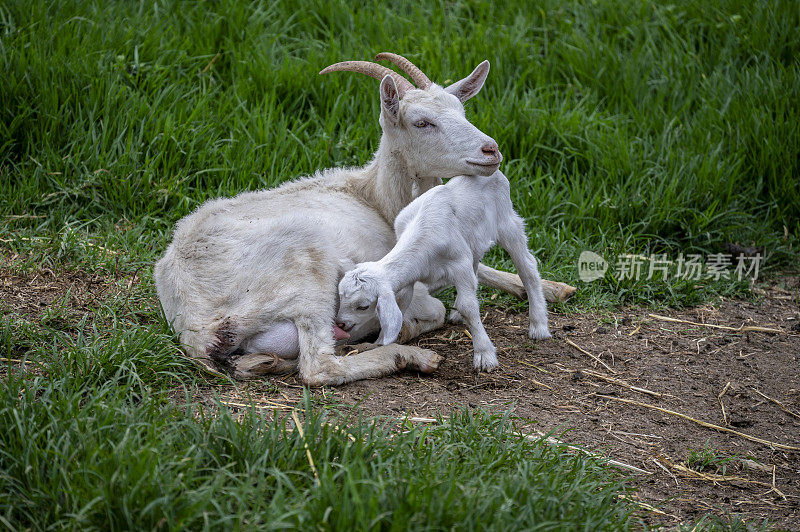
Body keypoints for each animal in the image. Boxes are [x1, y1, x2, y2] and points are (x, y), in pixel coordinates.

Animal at [153, 54, 572, 384]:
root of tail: (195, 322)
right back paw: (410, 354)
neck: (375, 198)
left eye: (461, 111)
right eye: (422, 122)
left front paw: (555, 288)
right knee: (319, 368)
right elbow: (437, 303)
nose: (491, 150)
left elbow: (480, 267)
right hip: (306, 269)